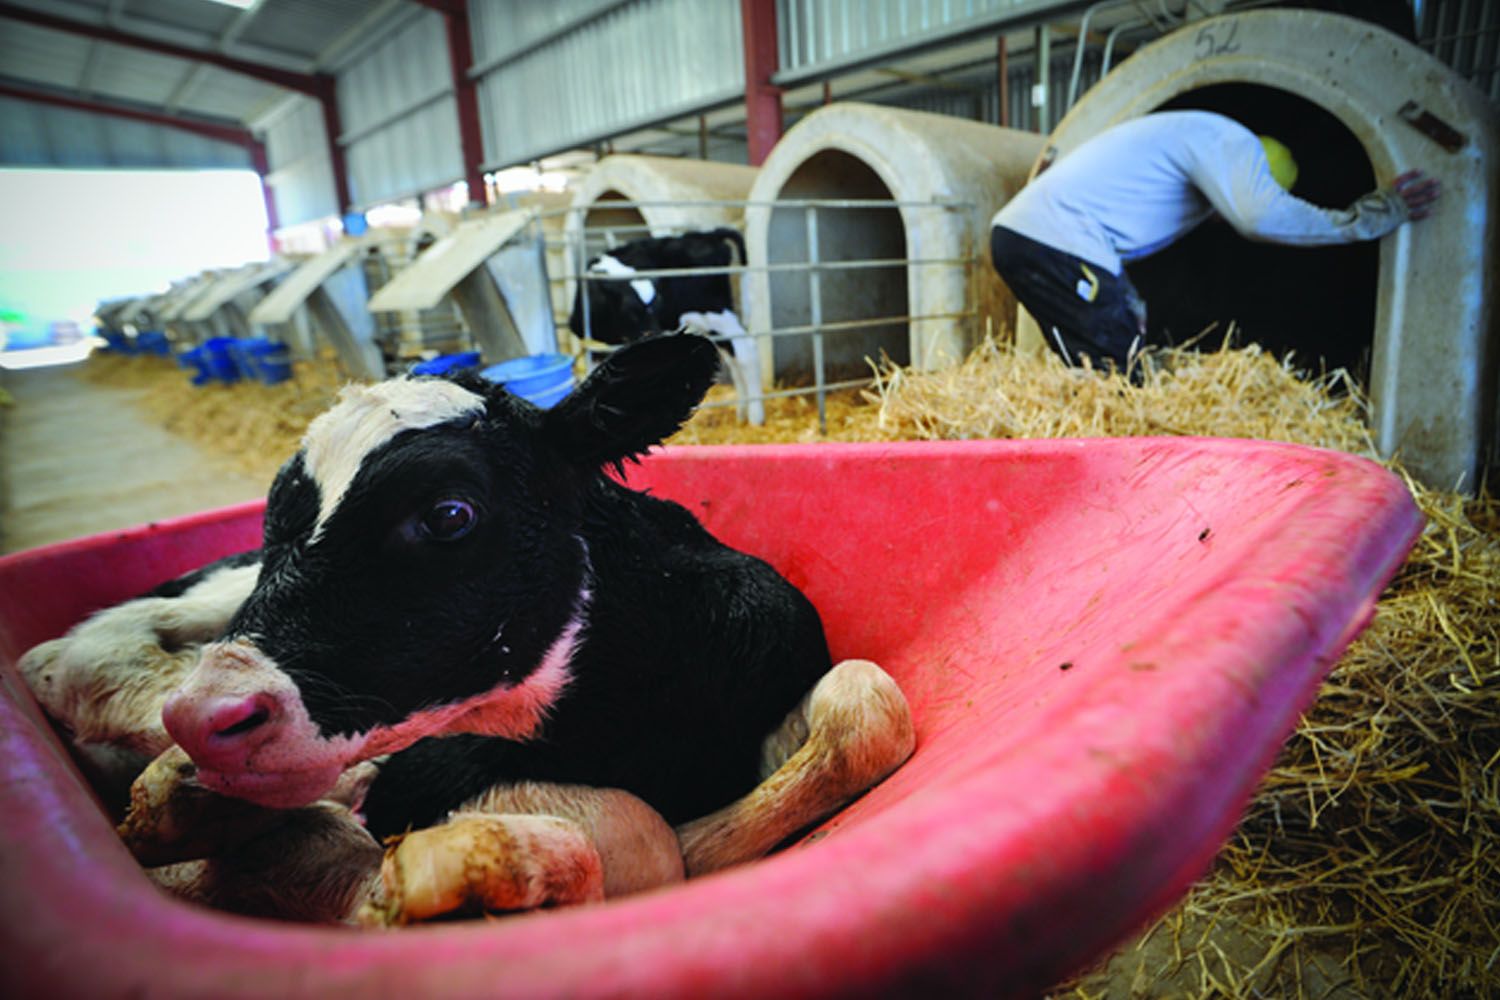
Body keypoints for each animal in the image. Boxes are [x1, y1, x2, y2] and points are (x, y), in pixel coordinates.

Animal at [26, 332, 912, 917]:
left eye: (448, 513)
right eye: (279, 515)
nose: (210, 716)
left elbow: (868, 704)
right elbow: (637, 836)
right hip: (216, 594)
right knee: (71, 656)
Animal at [567, 226, 768, 425]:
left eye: (658, 304)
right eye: (630, 310)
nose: (656, 335)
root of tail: (707, 235)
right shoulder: (596, 351)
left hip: (715, 312)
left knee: (746, 351)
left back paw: (755, 416)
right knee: (733, 356)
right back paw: (742, 412)